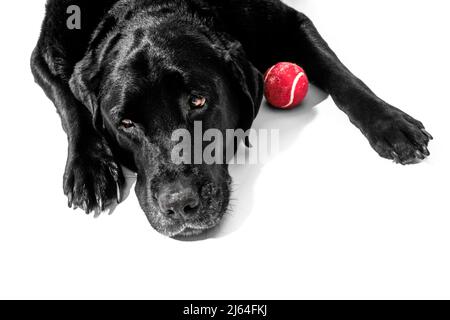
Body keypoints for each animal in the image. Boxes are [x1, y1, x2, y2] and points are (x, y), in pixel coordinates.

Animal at [31, 0, 432, 236]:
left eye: (198, 100)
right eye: (125, 123)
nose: (179, 204)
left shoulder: (289, 20)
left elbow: (339, 72)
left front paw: (391, 122)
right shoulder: (43, 57)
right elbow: (71, 104)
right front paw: (90, 166)